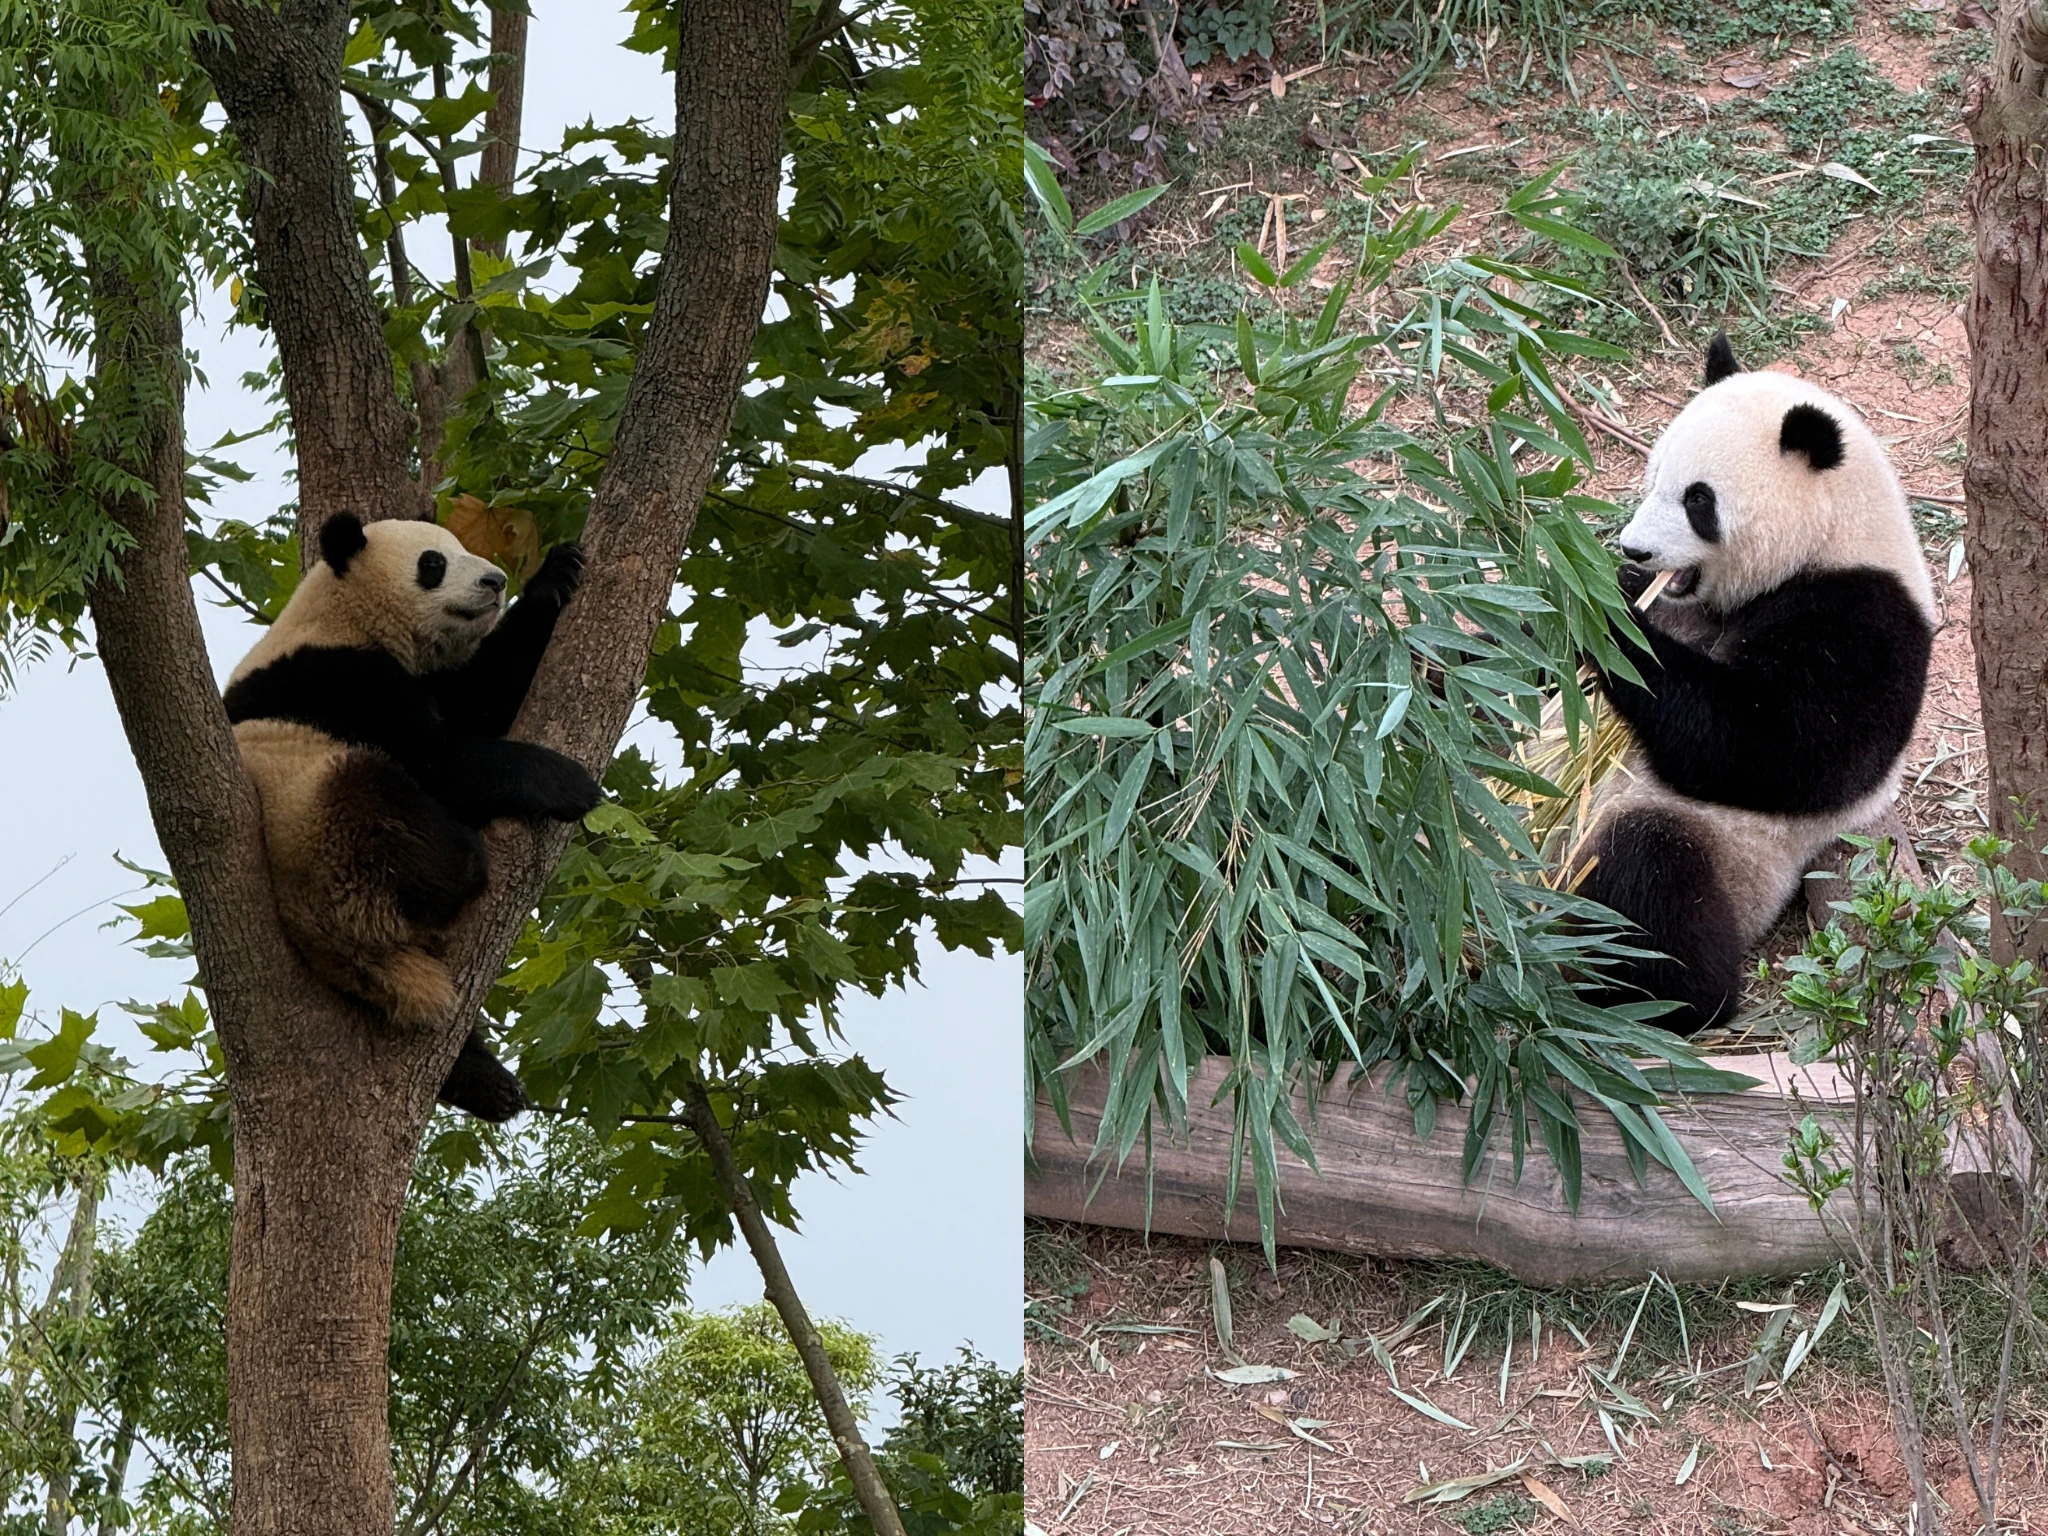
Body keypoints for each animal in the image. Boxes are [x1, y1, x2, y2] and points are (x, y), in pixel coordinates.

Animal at [222, 512, 602, 1119]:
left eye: (464, 545)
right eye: (433, 563)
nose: (496, 580)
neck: (345, 613)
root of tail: (343, 953)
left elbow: (482, 697)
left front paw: (555, 578)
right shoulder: (339, 678)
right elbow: (440, 759)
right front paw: (567, 783)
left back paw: (487, 1083)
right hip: (318, 824)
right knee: (391, 817)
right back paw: (455, 868)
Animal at [1572, 335, 1936, 1033]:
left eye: (1697, 501)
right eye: (1653, 475)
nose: (1634, 550)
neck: (1832, 535)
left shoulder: (1865, 616)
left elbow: (1769, 748)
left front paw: (1604, 615)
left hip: (1722, 857)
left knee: (1648, 879)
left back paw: (1652, 992)